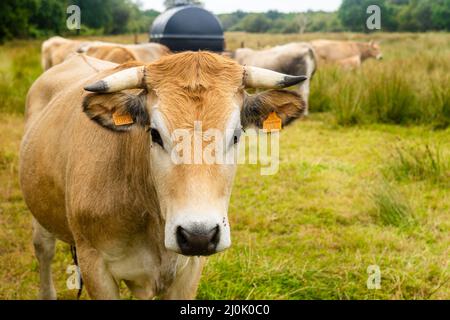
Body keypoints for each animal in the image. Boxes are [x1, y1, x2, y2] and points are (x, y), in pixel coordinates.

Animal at [20, 51, 306, 298]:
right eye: (155, 134)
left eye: (236, 135)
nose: (198, 235)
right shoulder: (95, 266)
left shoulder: (189, 271)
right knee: (43, 249)